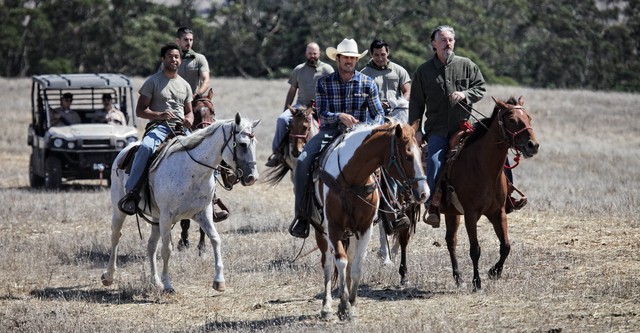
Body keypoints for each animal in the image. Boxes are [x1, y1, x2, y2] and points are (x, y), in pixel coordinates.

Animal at [440, 94, 540, 290]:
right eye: (511, 120)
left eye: (529, 118)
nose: (533, 145)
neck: (482, 167)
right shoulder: (470, 214)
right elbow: (475, 249)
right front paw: (477, 282)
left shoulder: (498, 212)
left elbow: (506, 246)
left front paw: (494, 271)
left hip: (452, 212)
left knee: (451, 241)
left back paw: (458, 277)